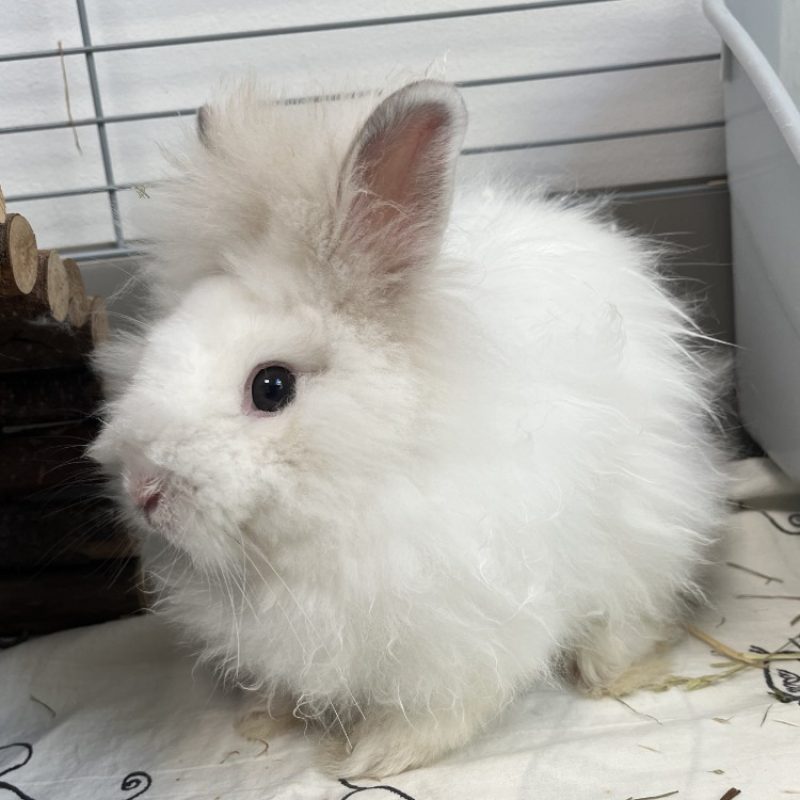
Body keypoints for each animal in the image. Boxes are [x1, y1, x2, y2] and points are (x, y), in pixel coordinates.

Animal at [89, 78, 730, 778]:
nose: (144, 492)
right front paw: (263, 714)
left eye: (272, 386)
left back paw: (603, 669)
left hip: (648, 532)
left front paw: (377, 756)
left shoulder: (462, 628)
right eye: (153, 351)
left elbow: (442, 708)